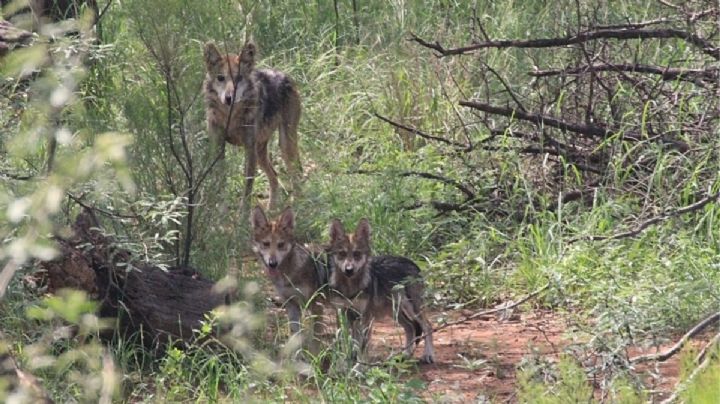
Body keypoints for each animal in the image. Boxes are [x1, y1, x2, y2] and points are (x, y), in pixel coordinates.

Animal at [203, 41, 302, 209]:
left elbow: (247, 188)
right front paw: (221, 211)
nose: (229, 98)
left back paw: (299, 204)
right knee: (275, 176)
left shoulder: (249, 149)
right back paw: (271, 210)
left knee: (296, 175)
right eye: (221, 78)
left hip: (284, 145)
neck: (231, 118)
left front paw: (243, 215)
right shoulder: (218, 148)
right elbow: (220, 183)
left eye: (239, 78)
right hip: (261, 152)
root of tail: (284, 75)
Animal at [250, 206, 327, 354]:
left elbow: (315, 343)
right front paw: (297, 357)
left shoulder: (316, 306)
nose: (272, 263)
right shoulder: (291, 305)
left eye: (281, 244)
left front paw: (316, 359)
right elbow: (296, 337)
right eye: (266, 244)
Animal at [328, 218, 435, 363]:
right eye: (342, 254)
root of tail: (412, 262)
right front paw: (347, 361)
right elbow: (347, 342)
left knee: (427, 326)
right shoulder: (342, 314)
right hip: (395, 312)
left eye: (357, 254)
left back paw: (428, 355)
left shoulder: (364, 317)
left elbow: (362, 347)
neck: (350, 287)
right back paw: (405, 355)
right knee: (410, 327)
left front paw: (359, 366)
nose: (349, 270)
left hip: (412, 308)